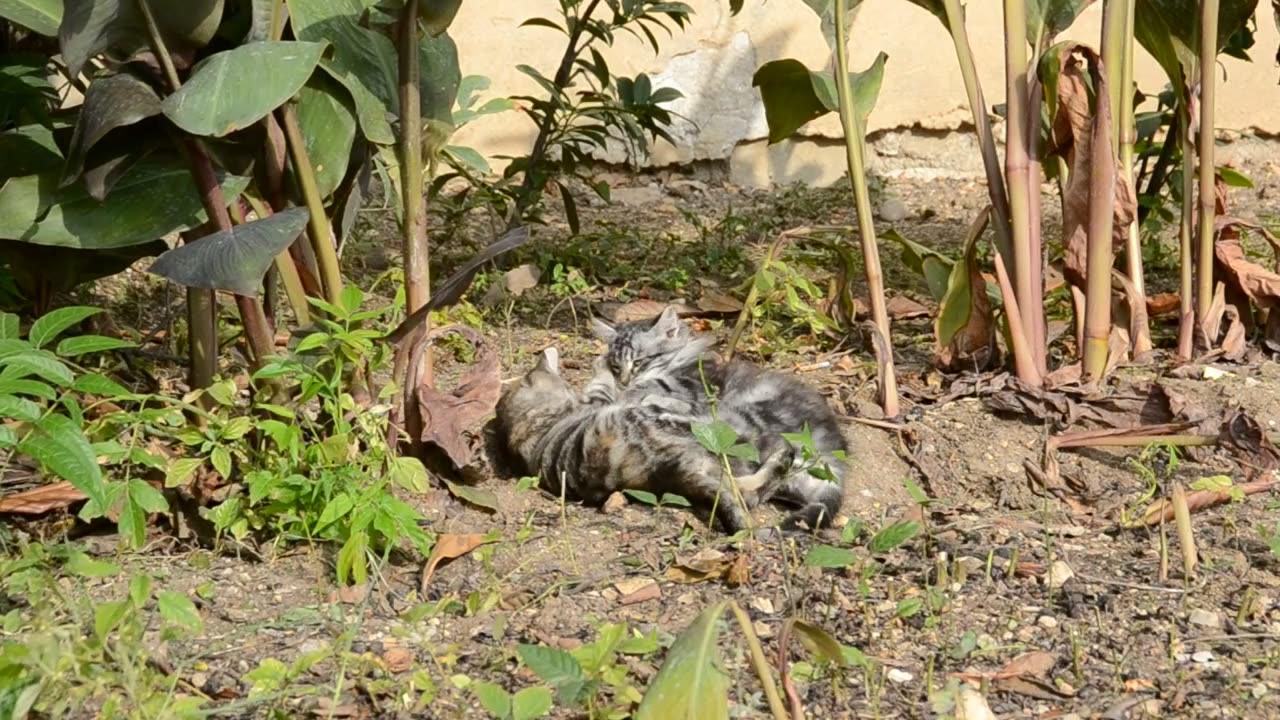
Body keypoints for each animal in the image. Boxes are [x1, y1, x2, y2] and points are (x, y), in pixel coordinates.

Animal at [494, 345, 793, 530]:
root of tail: (673, 473)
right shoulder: (599, 401)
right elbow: (602, 383)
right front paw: (603, 364)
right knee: (752, 484)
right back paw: (783, 454)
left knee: (748, 492)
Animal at [591, 302, 849, 527]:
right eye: (617, 366)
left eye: (639, 362)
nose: (624, 381)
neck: (678, 360)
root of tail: (833, 457)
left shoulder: (692, 387)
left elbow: (651, 392)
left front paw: (636, 397)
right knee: (758, 485)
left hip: (750, 412)